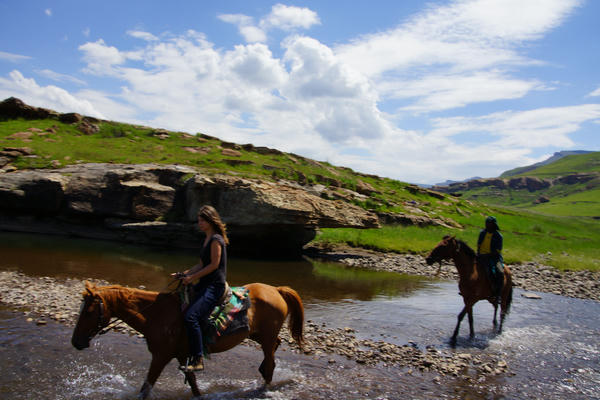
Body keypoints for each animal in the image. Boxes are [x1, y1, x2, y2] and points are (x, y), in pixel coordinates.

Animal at [71, 282, 304, 400]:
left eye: (89, 311)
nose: (76, 342)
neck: (156, 314)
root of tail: (276, 289)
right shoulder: (183, 356)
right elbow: (193, 384)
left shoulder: (161, 356)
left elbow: (146, 388)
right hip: (258, 334)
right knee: (274, 349)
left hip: (265, 336)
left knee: (271, 362)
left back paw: (264, 387)